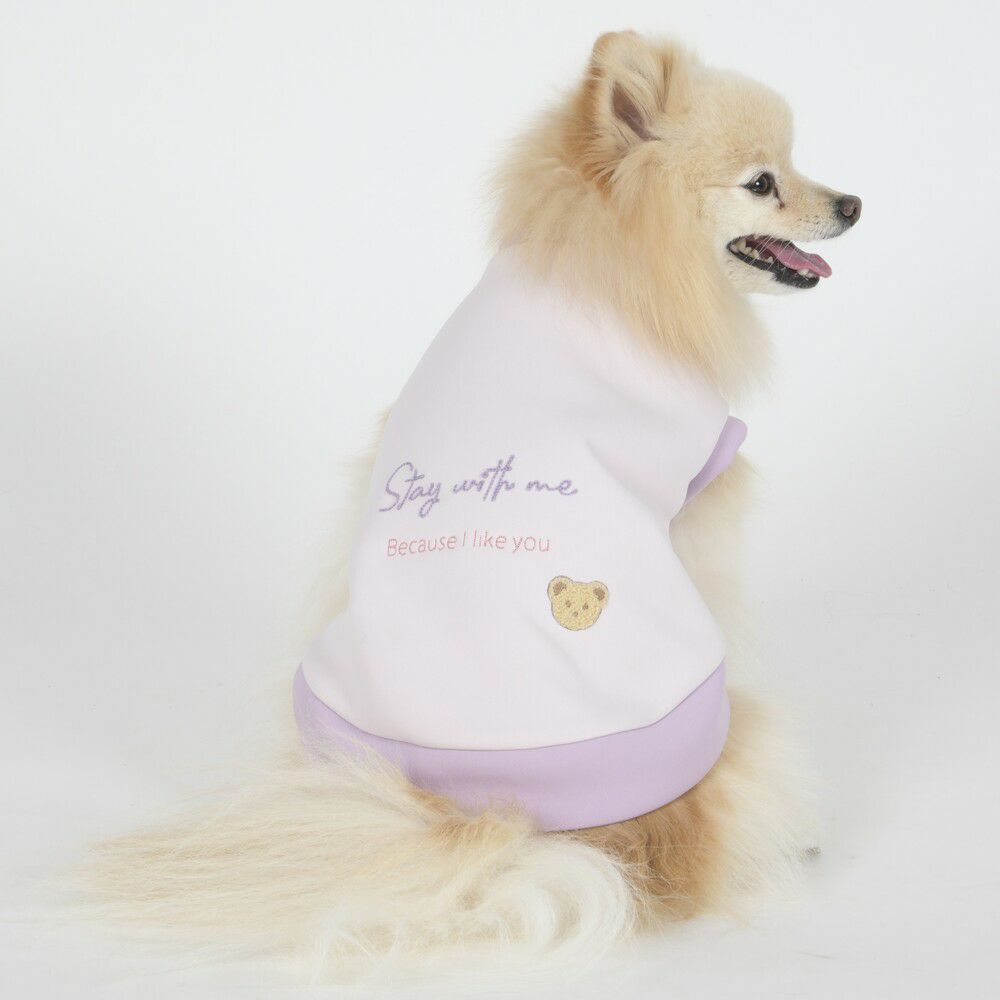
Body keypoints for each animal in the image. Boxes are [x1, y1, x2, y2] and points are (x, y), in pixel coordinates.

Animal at [89, 30, 861, 977]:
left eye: (797, 163)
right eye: (762, 182)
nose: (854, 203)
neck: (609, 268)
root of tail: (497, 822)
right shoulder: (696, 498)